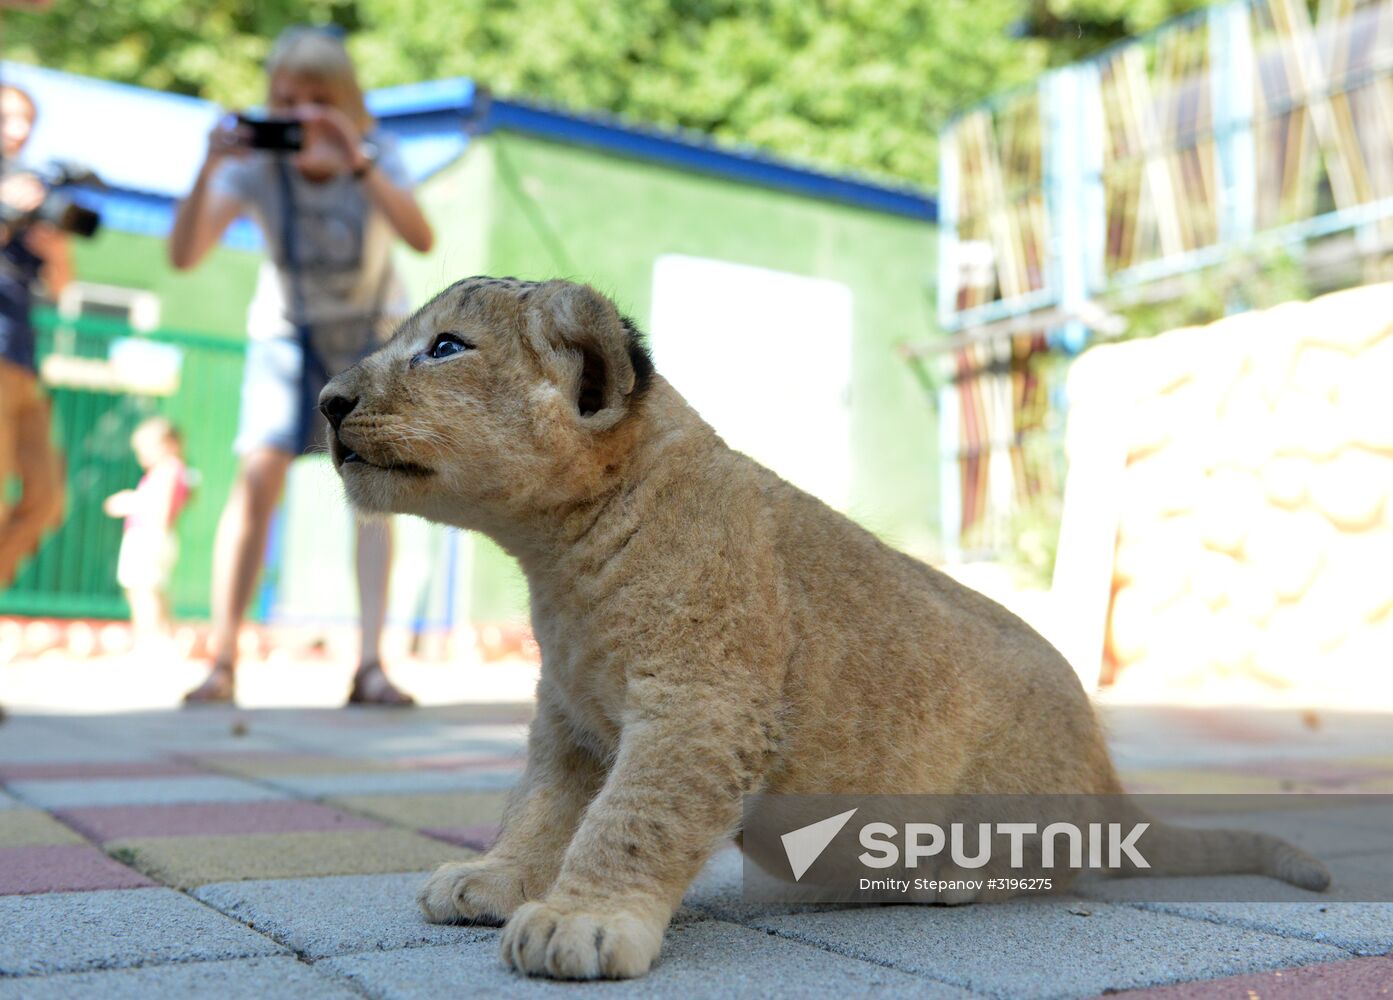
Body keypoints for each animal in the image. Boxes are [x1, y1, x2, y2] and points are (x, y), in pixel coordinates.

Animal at [319, 277, 1329, 981]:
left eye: (445, 347)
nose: (327, 400)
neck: (557, 552)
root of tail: (1108, 777)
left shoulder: (702, 704)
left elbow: (630, 819)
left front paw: (582, 922)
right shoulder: (571, 721)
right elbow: (540, 808)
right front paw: (494, 881)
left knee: (1058, 868)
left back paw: (947, 879)